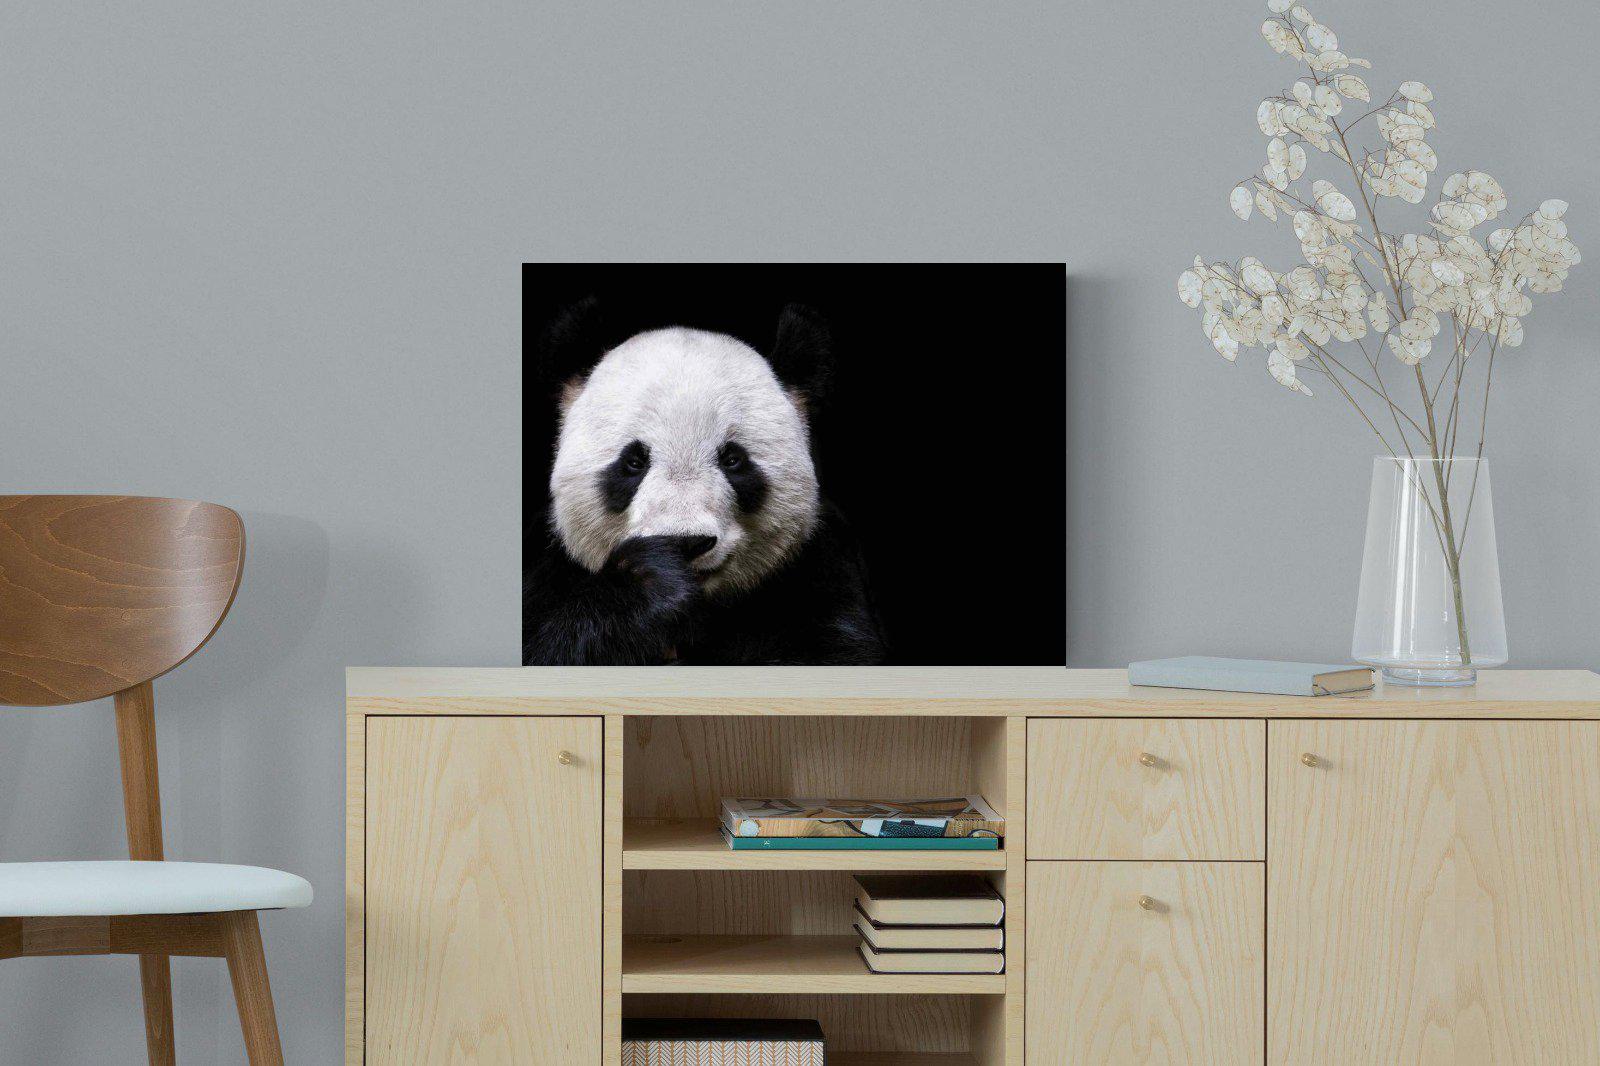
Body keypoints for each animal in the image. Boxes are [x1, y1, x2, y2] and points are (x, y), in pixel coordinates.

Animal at [523, 299, 886, 665]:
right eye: (634, 462)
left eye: (733, 459)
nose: (686, 542)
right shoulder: (546, 565)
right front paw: (651, 580)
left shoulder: (822, 568)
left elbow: (832, 651)